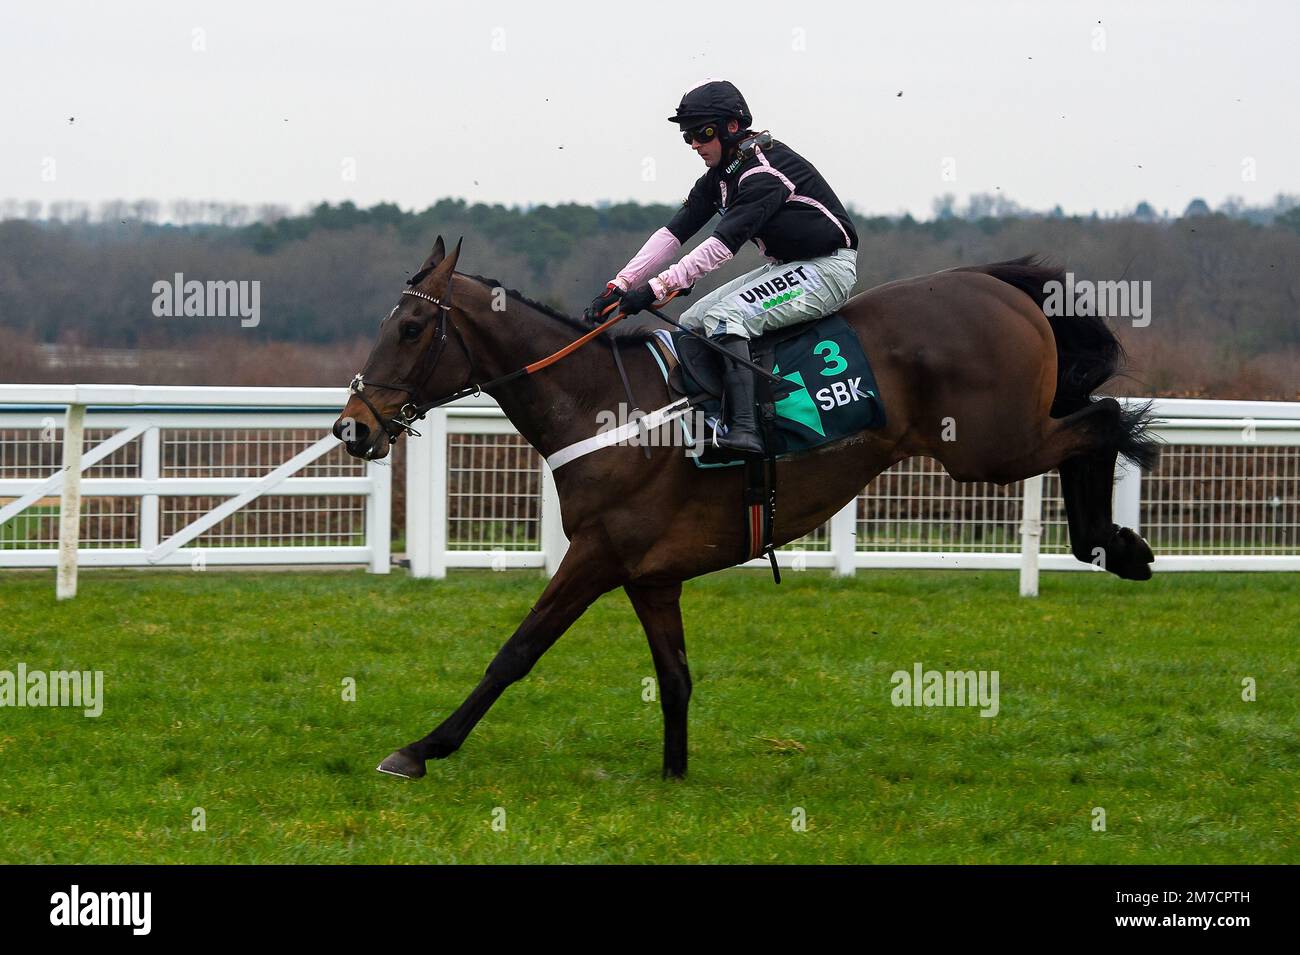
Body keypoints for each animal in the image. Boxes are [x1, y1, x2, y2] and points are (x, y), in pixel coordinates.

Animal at [332, 235, 1159, 779]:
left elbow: (515, 651)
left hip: (990, 445)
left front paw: (421, 748)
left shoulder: (597, 554)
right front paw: (673, 775)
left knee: (1103, 419)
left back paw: (1116, 542)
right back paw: (1113, 544)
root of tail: (996, 286)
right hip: (1001, 438)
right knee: (1092, 421)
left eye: (411, 327)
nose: (354, 427)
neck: (604, 406)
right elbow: (674, 677)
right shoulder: (650, 574)